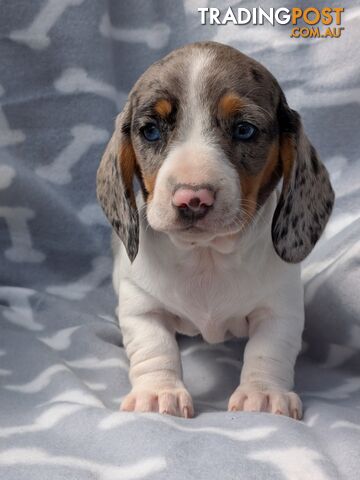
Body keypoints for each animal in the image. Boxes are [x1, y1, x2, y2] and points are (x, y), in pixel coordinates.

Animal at [96, 44, 334, 420]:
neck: (205, 255)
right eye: (151, 131)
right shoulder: (141, 306)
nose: (193, 199)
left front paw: (263, 395)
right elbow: (154, 348)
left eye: (244, 130)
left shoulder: (280, 309)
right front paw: (158, 393)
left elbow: (269, 351)